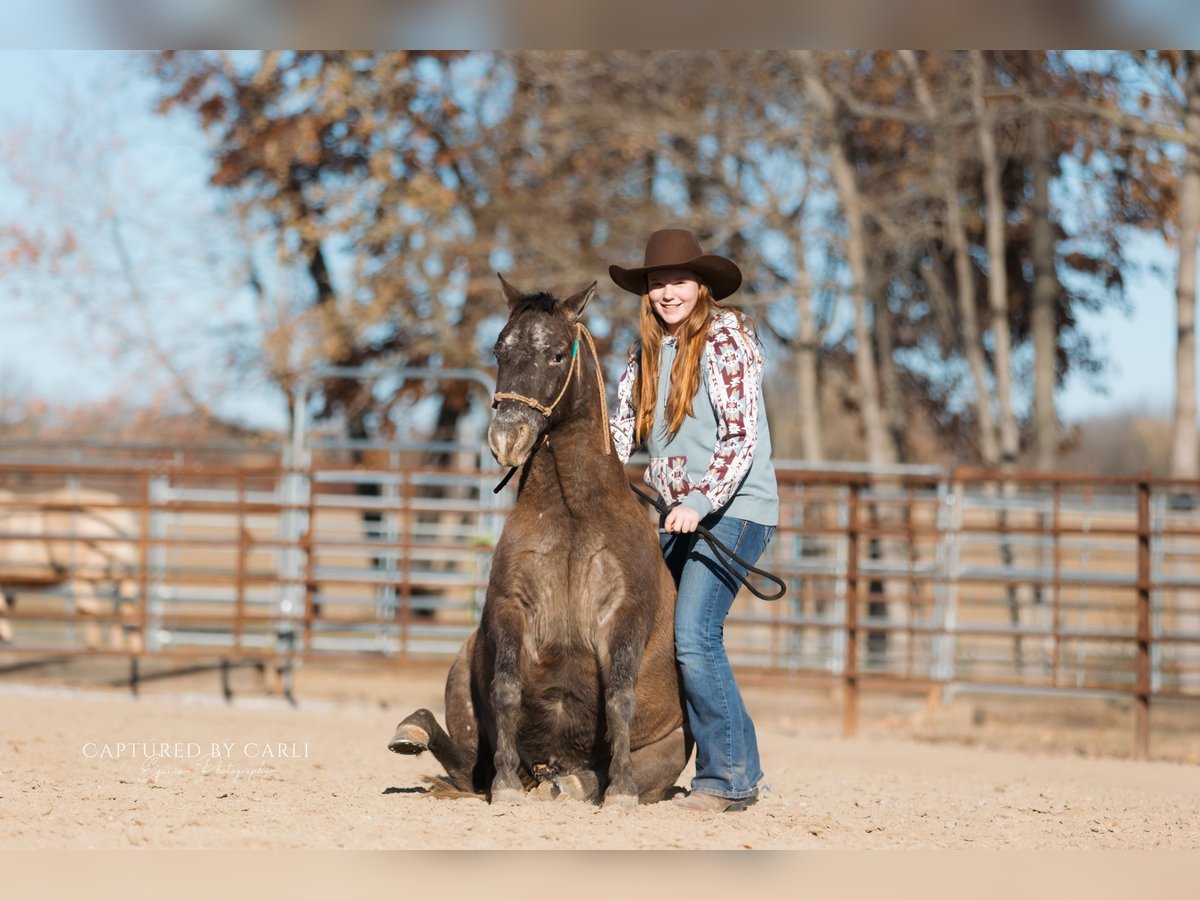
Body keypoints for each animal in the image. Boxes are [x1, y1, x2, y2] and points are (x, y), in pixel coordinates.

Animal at [388, 276, 689, 808]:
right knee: (464, 763)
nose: (507, 439)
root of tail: (551, 764)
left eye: (556, 355)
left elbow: (620, 698)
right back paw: (415, 732)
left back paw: (579, 781)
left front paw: (622, 792)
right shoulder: (513, 606)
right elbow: (507, 689)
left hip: (669, 750)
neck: (572, 513)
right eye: (499, 350)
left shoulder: (624, 613)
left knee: (590, 773)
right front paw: (507, 785)